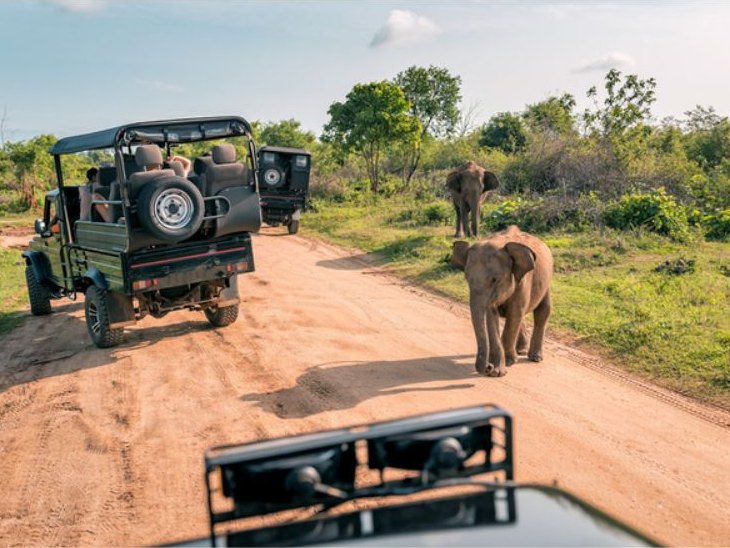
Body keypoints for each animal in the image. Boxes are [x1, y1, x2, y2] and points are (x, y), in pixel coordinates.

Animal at [451, 225, 553, 377]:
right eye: (467, 278)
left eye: (494, 280)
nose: (488, 367)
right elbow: (492, 316)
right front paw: (497, 370)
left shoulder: (523, 281)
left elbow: (515, 313)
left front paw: (509, 363)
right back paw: (521, 351)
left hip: (546, 282)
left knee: (542, 311)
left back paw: (535, 358)